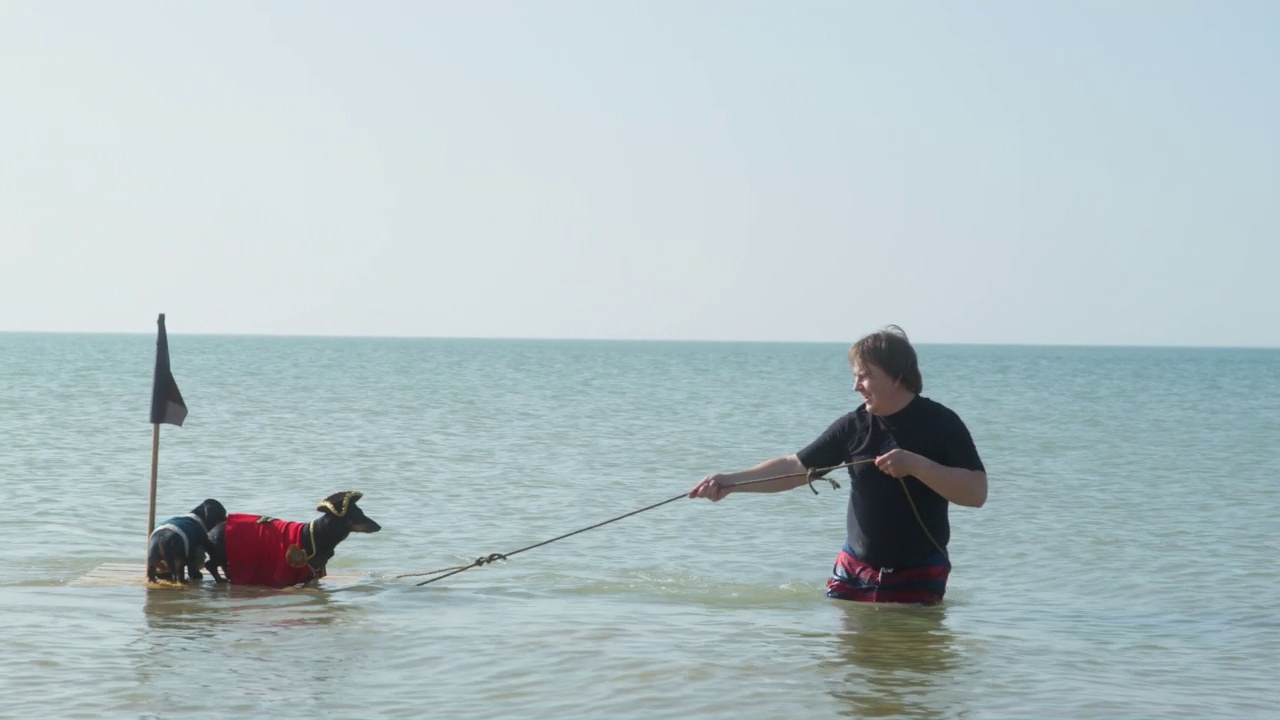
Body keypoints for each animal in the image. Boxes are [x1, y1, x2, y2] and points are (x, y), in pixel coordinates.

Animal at [203, 489, 378, 586]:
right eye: (359, 514)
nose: (379, 526)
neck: (320, 533)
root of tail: (210, 533)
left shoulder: (314, 573)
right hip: (220, 552)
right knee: (209, 564)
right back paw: (220, 580)